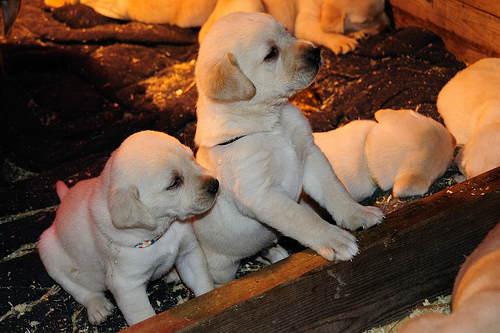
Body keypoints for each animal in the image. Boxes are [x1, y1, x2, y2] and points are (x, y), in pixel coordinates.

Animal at [38, 129, 218, 324]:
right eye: (174, 183)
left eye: (192, 157)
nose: (216, 184)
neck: (162, 228)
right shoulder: (127, 286)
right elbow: (144, 317)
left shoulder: (189, 253)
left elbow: (204, 283)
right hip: (50, 255)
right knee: (81, 290)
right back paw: (98, 307)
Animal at [193, 11, 384, 284]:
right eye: (271, 53)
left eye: (286, 31)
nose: (316, 51)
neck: (273, 122)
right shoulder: (261, 194)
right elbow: (302, 217)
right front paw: (334, 239)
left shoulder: (311, 156)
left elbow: (335, 190)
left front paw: (358, 214)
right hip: (221, 268)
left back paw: (275, 251)